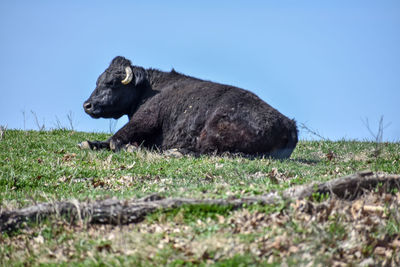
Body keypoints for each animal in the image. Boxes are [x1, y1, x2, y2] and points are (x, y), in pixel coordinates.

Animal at [81, 55, 298, 158]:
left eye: (111, 83)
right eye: (97, 81)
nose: (87, 105)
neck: (149, 90)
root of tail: (289, 124)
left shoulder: (146, 119)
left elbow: (115, 140)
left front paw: (130, 148)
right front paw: (89, 143)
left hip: (213, 130)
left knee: (209, 151)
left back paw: (176, 152)